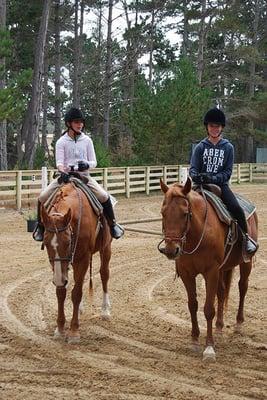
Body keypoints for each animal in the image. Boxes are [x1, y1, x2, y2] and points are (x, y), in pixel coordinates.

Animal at [41, 183, 112, 342]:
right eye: (46, 243)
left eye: (68, 242)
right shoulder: (59, 266)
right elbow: (61, 292)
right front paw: (60, 328)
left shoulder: (83, 258)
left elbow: (77, 293)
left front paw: (74, 331)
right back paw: (79, 309)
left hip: (106, 249)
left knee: (104, 275)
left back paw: (105, 310)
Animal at [159, 177, 260, 360]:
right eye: (163, 213)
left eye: (185, 214)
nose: (171, 250)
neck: (198, 233)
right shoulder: (187, 273)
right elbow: (193, 305)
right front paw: (194, 340)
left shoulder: (211, 272)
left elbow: (208, 309)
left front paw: (209, 347)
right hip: (222, 269)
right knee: (222, 292)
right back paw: (219, 327)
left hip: (245, 263)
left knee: (243, 287)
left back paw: (238, 323)